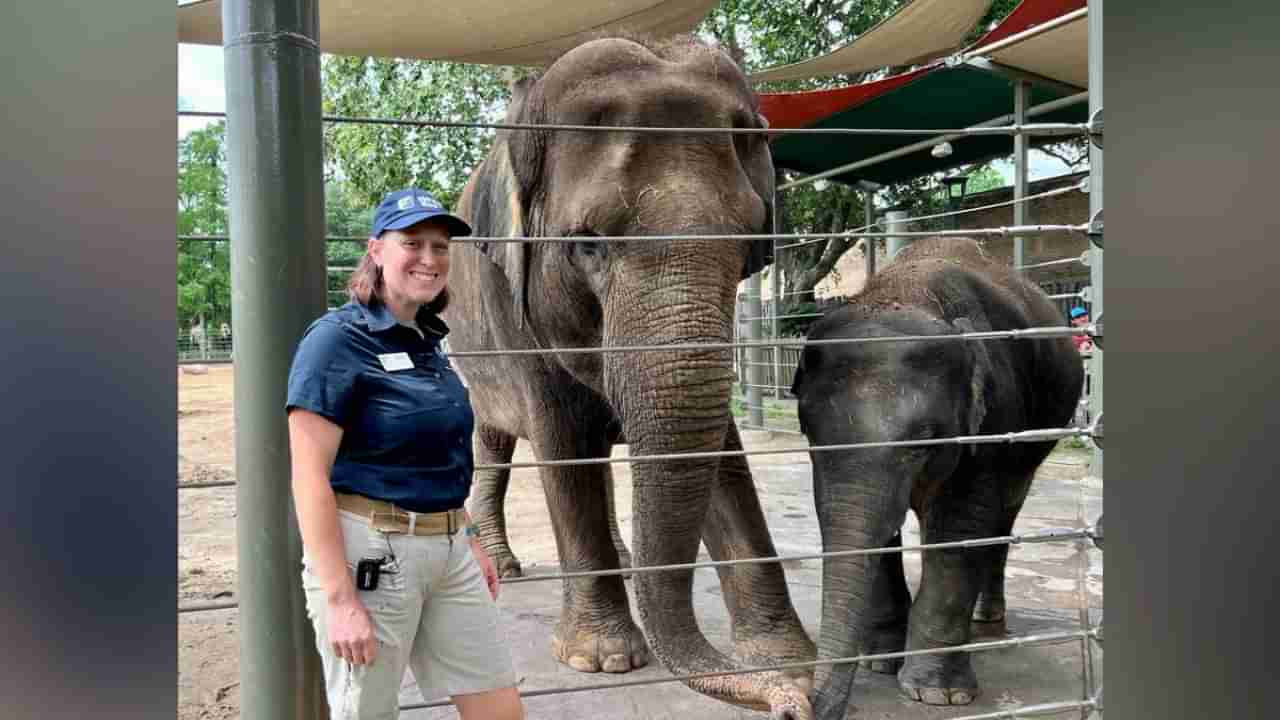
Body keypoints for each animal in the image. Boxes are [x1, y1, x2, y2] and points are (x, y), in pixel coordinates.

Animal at [445, 35, 814, 717]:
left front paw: (789, 665)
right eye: (588, 244)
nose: (789, 708)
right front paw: (603, 660)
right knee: (495, 445)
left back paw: (622, 555)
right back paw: (506, 568)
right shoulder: (515, 306)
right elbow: (562, 445)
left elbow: (721, 453)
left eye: (748, 241)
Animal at [788, 237, 1080, 717]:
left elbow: (959, 527)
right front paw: (879, 662)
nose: (798, 705)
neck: (907, 292)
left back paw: (985, 619)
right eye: (807, 430)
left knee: (1004, 512)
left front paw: (938, 695)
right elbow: (877, 530)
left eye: (923, 443)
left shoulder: (995, 415)